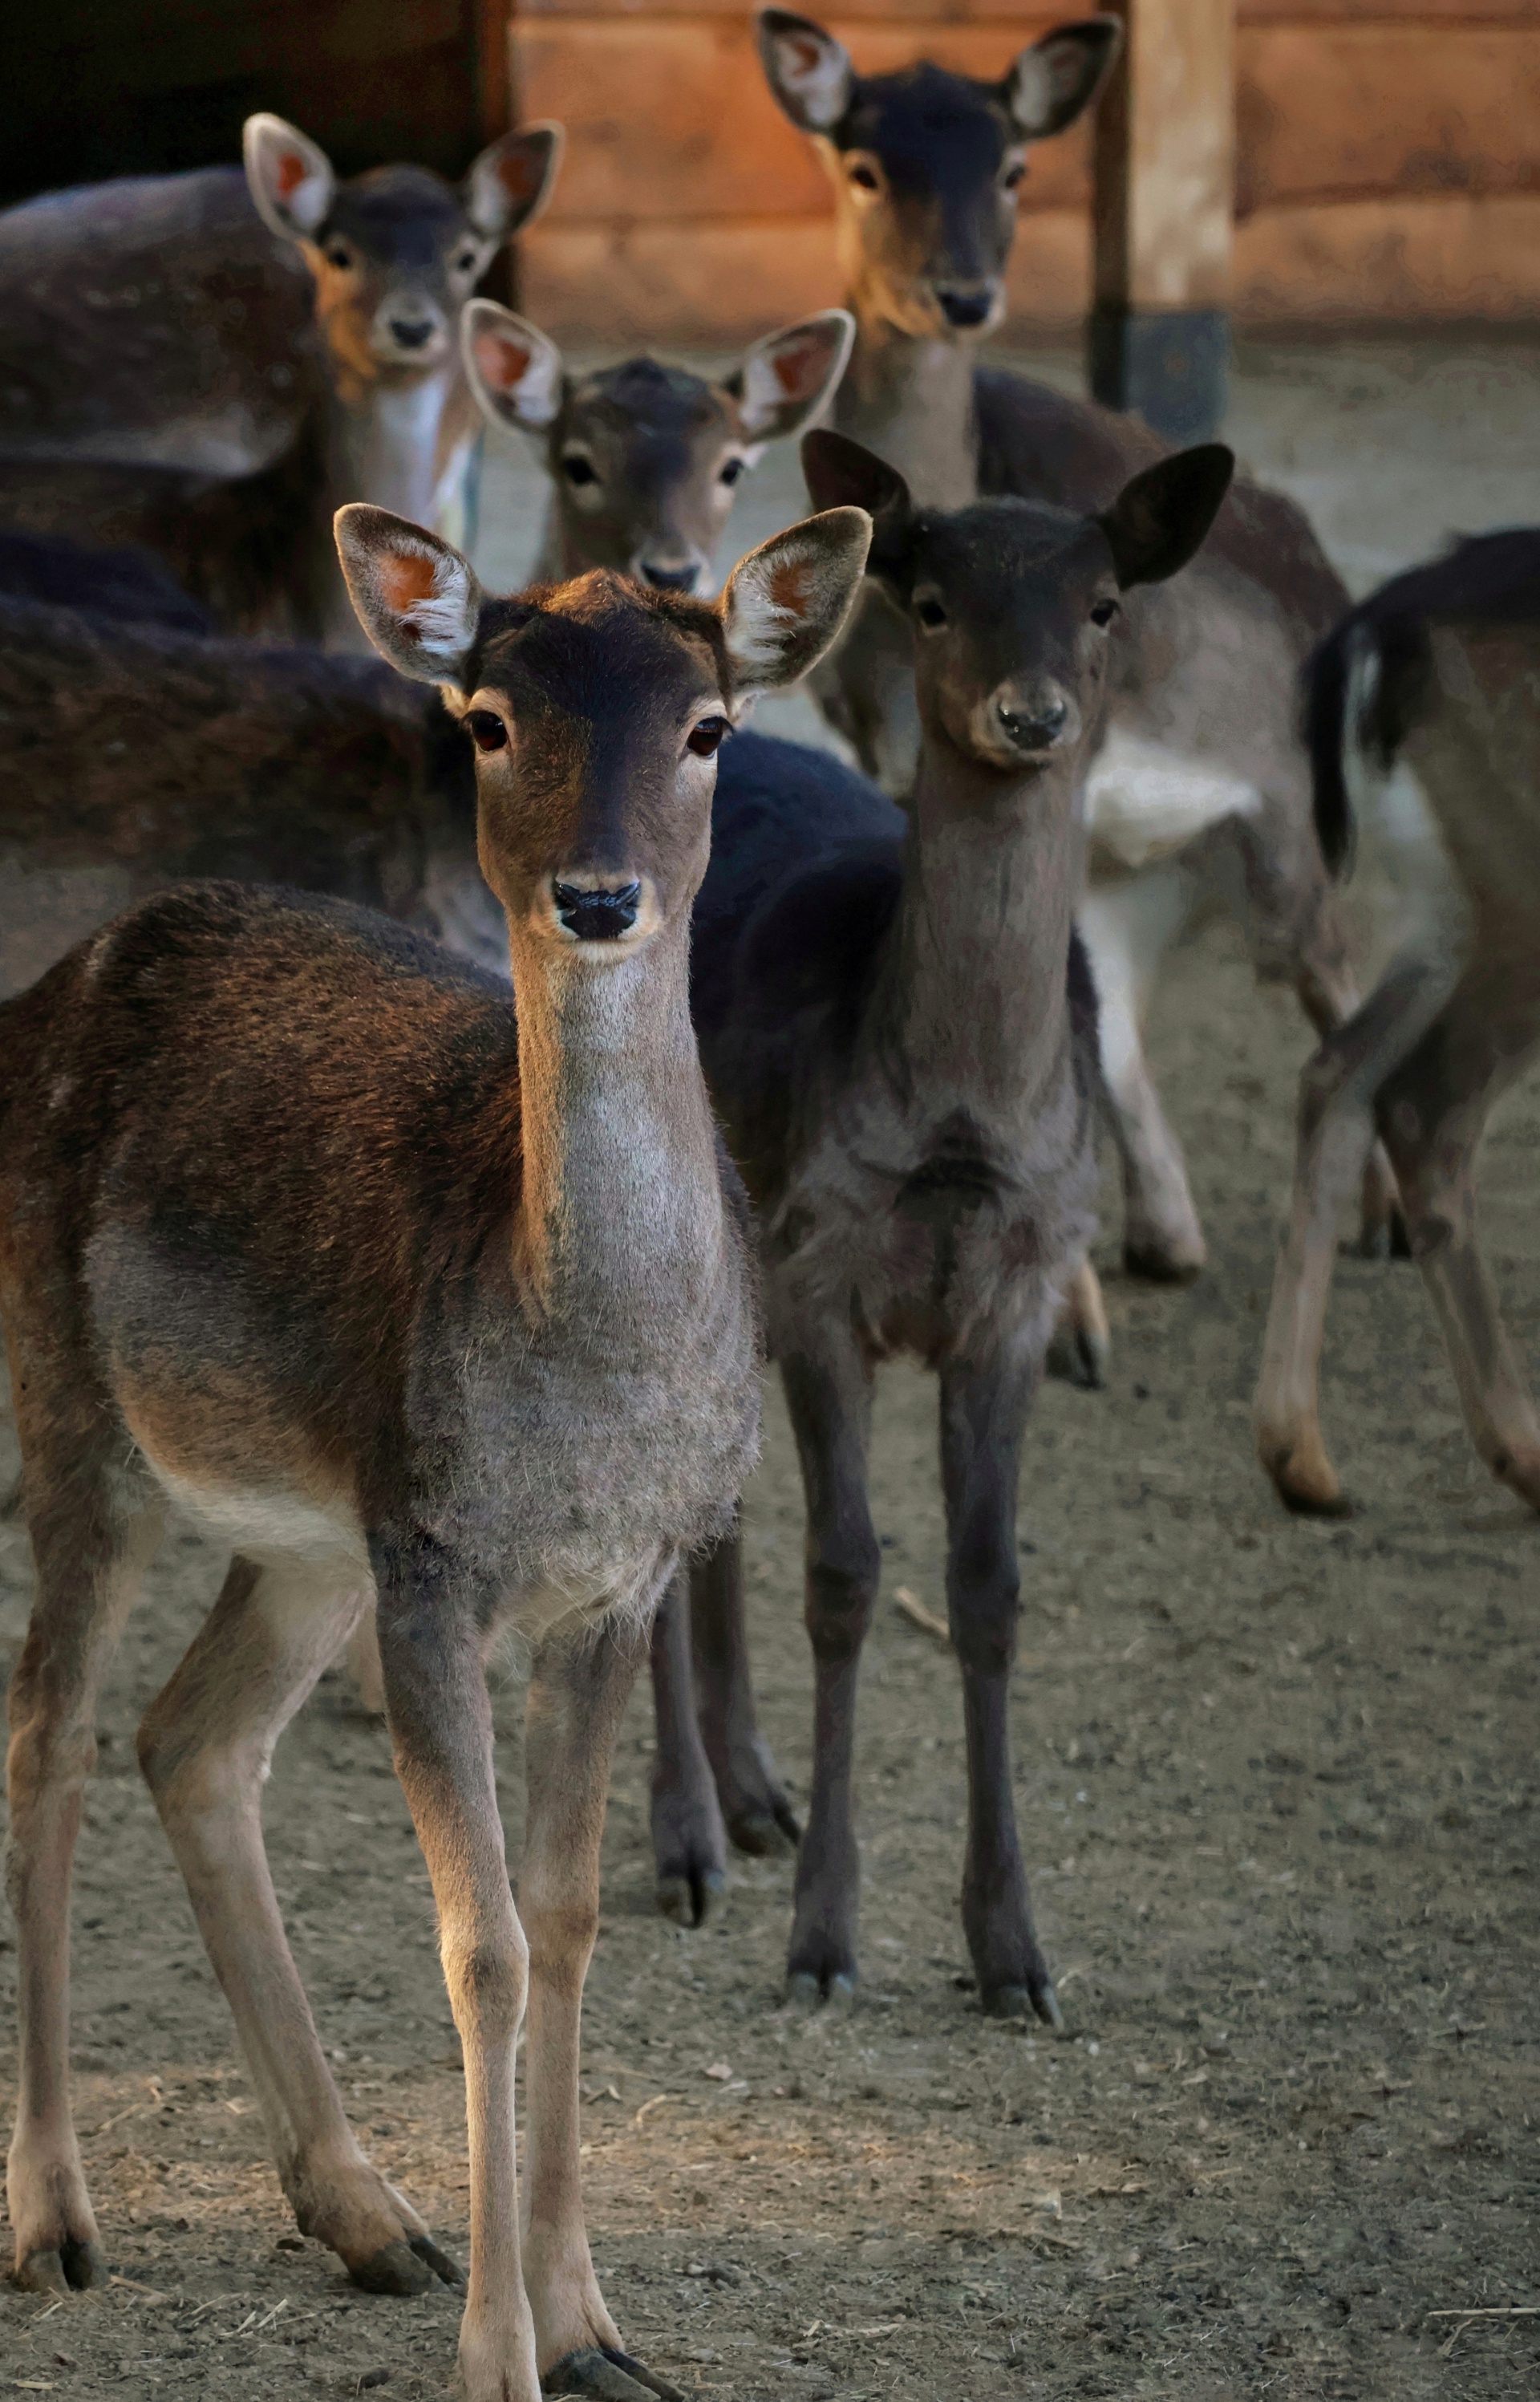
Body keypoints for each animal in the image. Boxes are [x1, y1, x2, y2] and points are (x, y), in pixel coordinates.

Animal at [0, 497, 869, 2392]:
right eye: (486, 720)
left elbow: (574, 1918)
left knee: (190, 1738)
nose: (600, 894)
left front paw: (595, 2325)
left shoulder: (617, 1578)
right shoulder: (433, 1558)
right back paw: (54, 2212)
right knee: (48, 1732)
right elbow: (482, 1947)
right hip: (82, 1422)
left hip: (304, 1534)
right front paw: (503, 2357)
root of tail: (51, 985)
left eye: (710, 728)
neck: (591, 1390)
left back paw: (364, 2210)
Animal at [648, 427, 1239, 2007]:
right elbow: (846, 1575)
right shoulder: (820, 1269)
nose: (1030, 713)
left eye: (1102, 603)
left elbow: (989, 1586)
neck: (960, 1134)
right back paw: (687, 1844)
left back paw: (751, 1792)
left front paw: (1015, 1950)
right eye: (926, 599)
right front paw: (823, 1939)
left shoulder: (1024, 1284)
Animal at [759, 9, 1393, 1287]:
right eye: (865, 165)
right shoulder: (878, 753)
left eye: (1012, 166)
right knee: (1129, 1010)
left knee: (1330, 966)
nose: (962, 293)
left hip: (1283, 821)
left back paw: (1384, 1217)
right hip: (1133, 871)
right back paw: (1168, 1236)